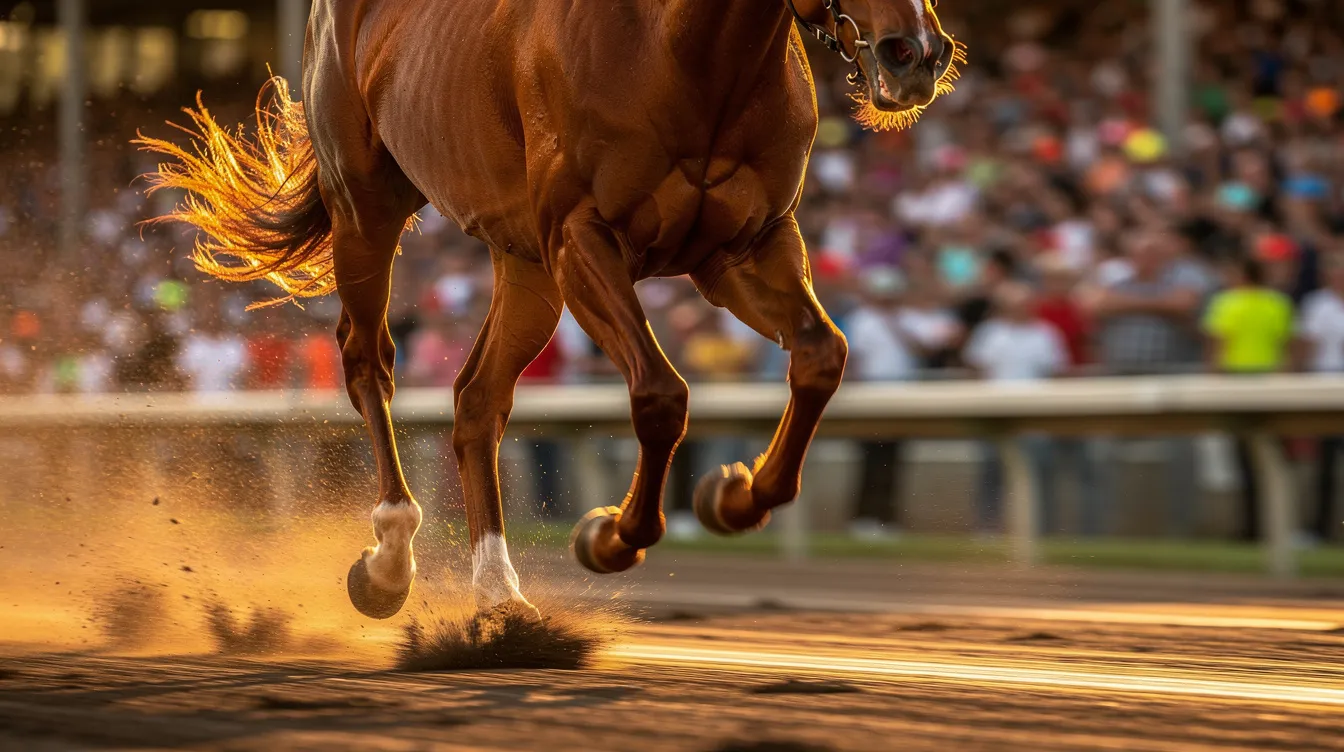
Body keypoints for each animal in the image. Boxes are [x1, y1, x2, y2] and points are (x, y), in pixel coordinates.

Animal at [138, 0, 960, 620]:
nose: (915, 52)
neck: (684, 53)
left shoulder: (744, 246)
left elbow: (823, 354)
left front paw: (735, 494)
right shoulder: (580, 237)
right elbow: (661, 395)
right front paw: (612, 535)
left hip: (521, 262)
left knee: (477, 398)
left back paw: (499, 591)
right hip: (365, 205)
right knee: (367, 360)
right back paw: (388, 560)